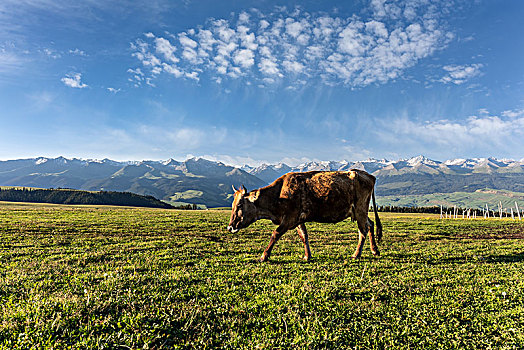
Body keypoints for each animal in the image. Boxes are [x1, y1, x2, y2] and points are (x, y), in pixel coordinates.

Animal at [227, 168, 382, 262]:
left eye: (239, 205)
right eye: (232, 205)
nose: (230, 227)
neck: (279, 194)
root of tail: (368, 175)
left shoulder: (289, 219)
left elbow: (275, 234)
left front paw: (264, 256)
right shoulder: (298, 220)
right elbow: (304, 236)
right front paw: (307, 256)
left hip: (360, 209)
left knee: (363, 231)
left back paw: (356, 254)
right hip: (359, 211)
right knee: (370, 225)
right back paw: (374, 250)